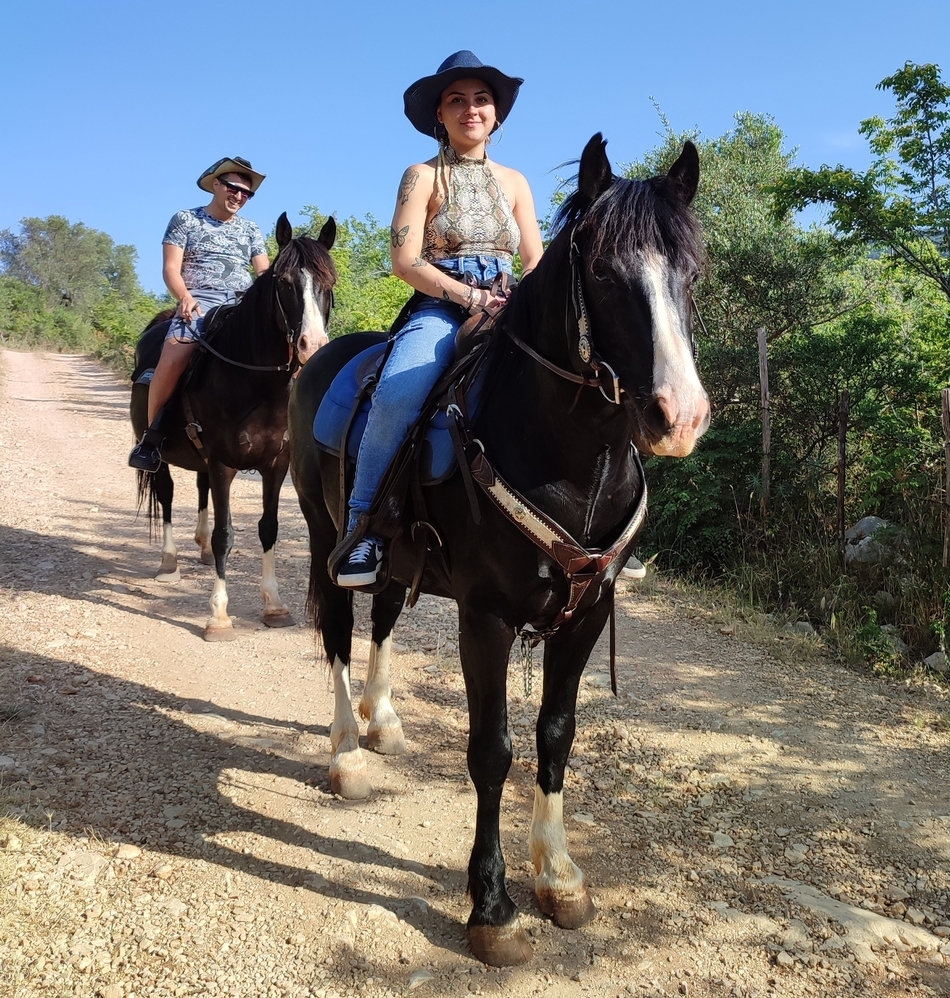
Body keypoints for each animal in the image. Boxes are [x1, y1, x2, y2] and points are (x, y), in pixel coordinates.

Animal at [130, 215, 338, 644]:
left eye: (329, 283)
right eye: (284, 283)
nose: (312, 346)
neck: (253, 382)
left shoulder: (275, 466)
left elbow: (269, 528)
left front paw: (274, 606)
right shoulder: (223, 463)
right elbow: (226, 534)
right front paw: (219, 616)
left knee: (199, 490)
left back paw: (201, 550)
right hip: (158, 455)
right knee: (167, 494)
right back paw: (170, 563)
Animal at [286, 137, 712, 964]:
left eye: (693, 272)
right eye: (603, 272)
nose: (678, 416)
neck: (568, 459)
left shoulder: (586, 614)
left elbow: (555, 736)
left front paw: (561, 877)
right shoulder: (483, 618)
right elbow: (493, 750)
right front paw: (492, 906)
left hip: (399, 560)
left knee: (383, 618)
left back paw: (382, 720)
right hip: (326, 535)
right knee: (340, 630)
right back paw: (348, 752)